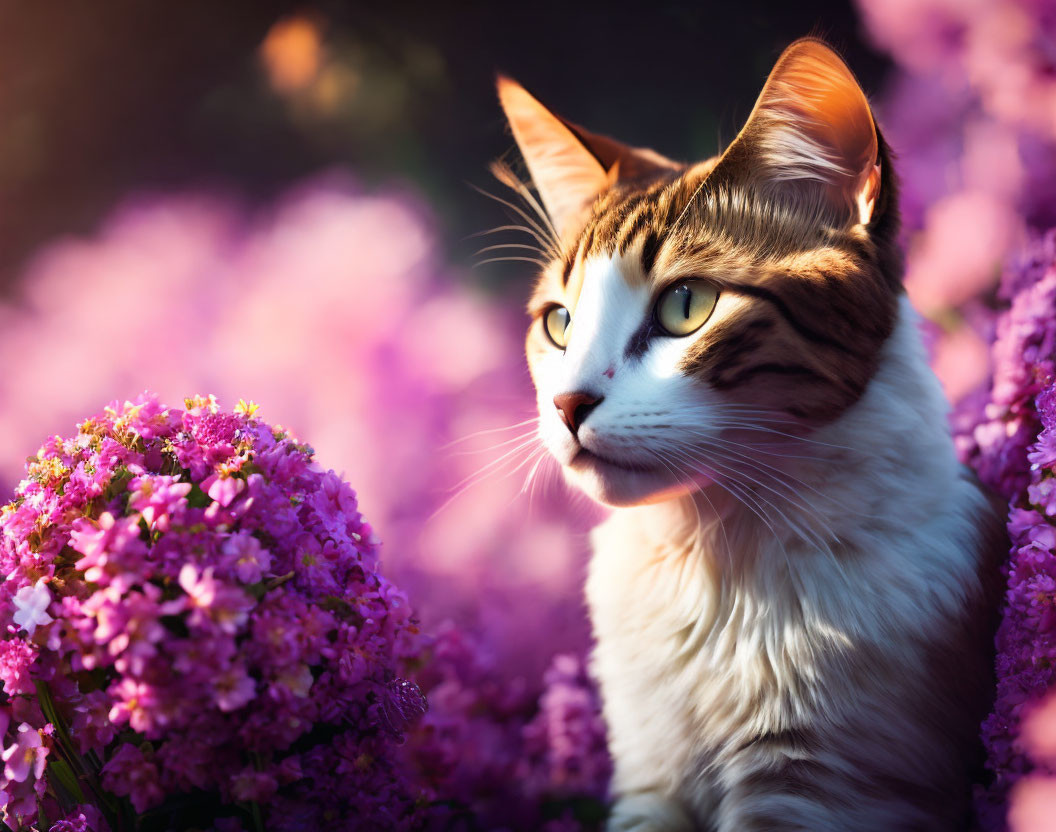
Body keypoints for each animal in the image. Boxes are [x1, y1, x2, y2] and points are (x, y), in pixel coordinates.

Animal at [494, 35, 1005, 827]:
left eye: (686, 306)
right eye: (559, 322)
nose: (568, 404)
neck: (713, 566)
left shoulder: (820, 779)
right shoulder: (648, 775)